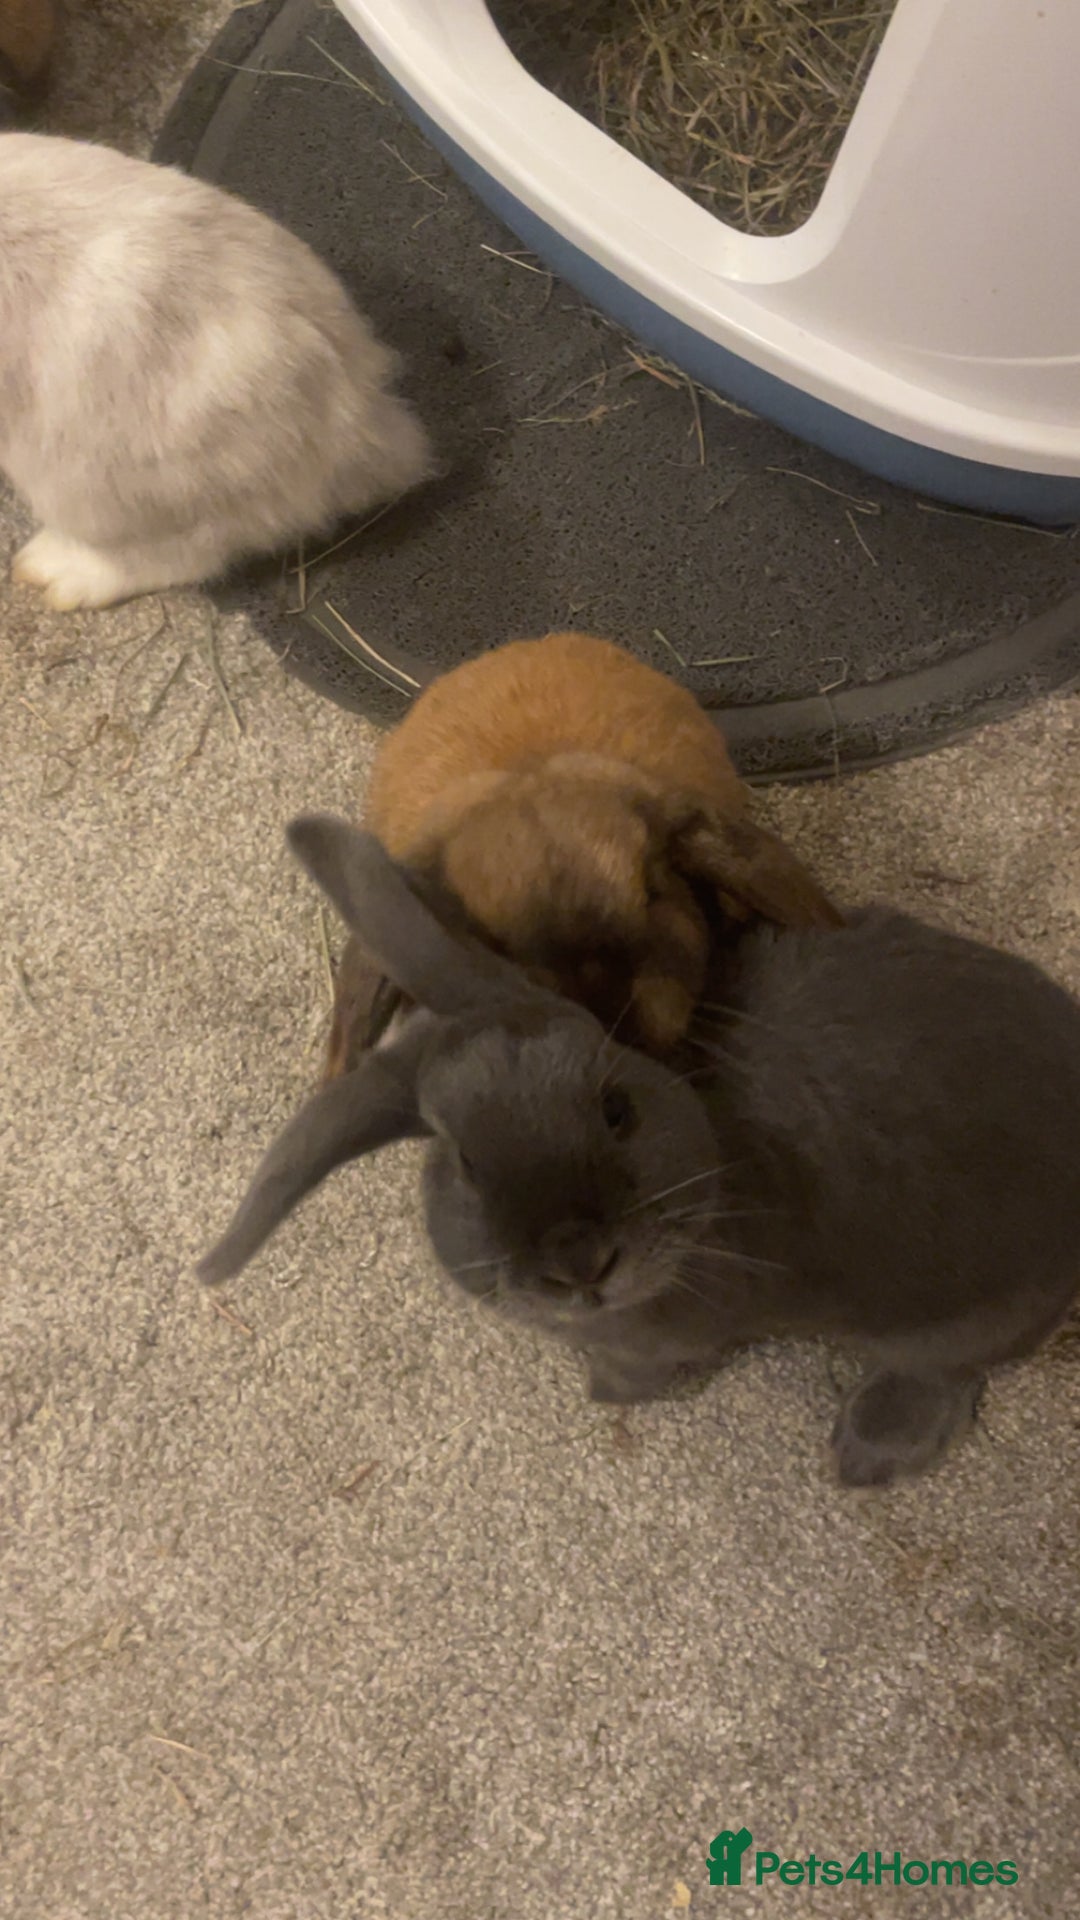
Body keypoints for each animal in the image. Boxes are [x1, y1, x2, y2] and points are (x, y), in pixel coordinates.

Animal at [199, 816, 1080, 1488]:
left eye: (615, 1109)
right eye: (464, 1163)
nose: (579, 1261)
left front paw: (603, 1394)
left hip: (950, 1321)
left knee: (952, 1374)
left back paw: (865, 1455)